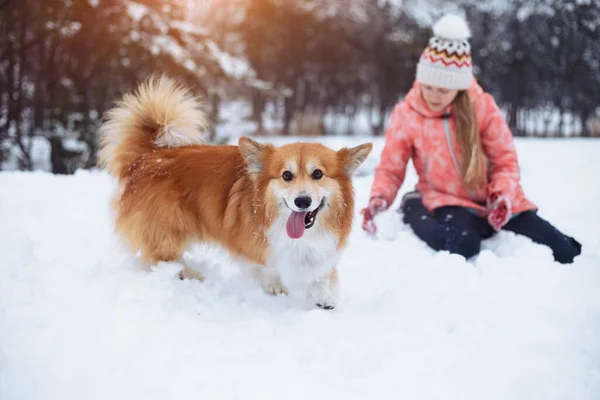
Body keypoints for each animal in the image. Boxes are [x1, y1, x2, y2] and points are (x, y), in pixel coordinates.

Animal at [99, 77, 370, 310]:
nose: (302, 201)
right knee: (161, 256)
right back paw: (189, 273)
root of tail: (148, 156)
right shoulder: (253, 248)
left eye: (318, 174)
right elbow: (267, 269)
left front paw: (323, 296)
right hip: (169, 225)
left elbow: (321, 275)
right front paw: (276, 288)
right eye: (286, 175)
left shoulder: (323, 250)